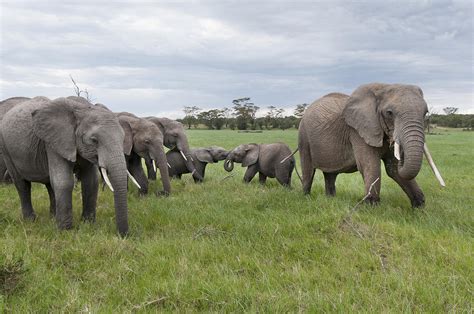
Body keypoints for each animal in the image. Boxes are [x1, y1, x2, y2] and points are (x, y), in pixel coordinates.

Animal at [0, 95, 131, 236]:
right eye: (94, 140)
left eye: (123, 139)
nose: (123, 235)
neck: (83, 108)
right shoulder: (54, 142)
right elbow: (64, 181)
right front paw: (65, 232)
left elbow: (91, 181)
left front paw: (88, 224)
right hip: (6, 149)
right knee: (22, 185)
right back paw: (31, 220)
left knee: (50, 184)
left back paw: (53, 218)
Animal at [300, 82, 444, 207]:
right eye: (389, 113)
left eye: (425, 113)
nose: (402, 156)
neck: (382, 87)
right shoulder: (357, 130)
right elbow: (369, 164)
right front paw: (371, 207)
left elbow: (393, 169)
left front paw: (419, 208)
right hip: (303, 136)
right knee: (308, 170)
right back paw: (306, 198)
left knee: (330, 174)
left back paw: (331, 199)